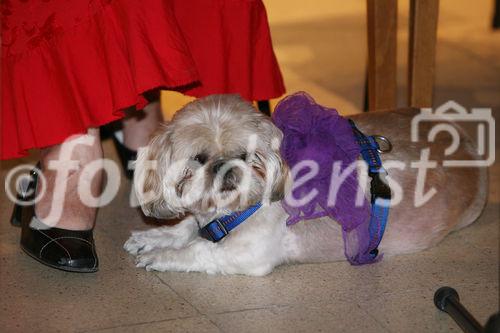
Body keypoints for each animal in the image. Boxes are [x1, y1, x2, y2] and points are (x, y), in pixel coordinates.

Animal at [125, 92, 488, 274]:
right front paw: (154, 238)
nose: (227, 167)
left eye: (245, 155)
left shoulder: (248, 254)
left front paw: (163, 256)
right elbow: (185, 228)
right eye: (198, 158)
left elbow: (197, 250)